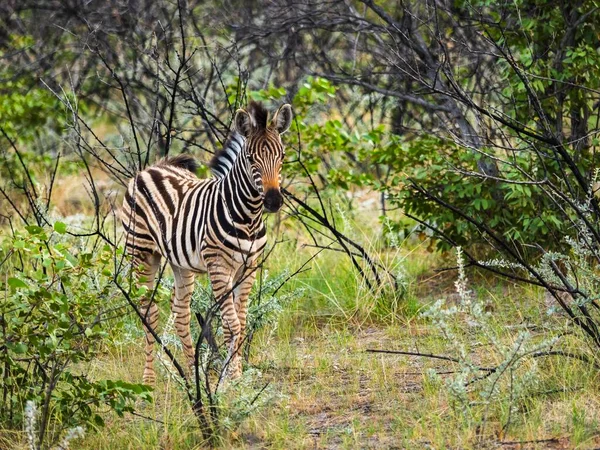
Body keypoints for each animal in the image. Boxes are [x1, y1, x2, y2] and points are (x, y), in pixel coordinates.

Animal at [120, 102, 292, 384]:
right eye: (250, 159)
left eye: (282, 156)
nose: (273, 201)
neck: (248, 217)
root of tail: (155, 166)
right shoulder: (218, 265)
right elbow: (231, 324)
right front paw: (231, 378)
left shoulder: (249, 266)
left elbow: (241, 321)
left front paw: (236, 376)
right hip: (141, 251)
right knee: (148, 312)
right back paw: (149, 381)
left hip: (180, 262)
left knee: (180, 312)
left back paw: (193, 377)